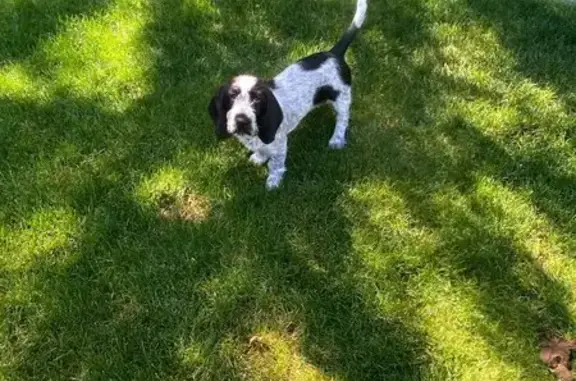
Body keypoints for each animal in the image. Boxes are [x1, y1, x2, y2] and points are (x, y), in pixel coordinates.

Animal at [209, 0, 366, 190]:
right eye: (232, 96)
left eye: (257, 100)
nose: (241, 120)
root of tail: (334, 53)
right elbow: (261, 149)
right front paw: (259, 157)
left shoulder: (280, 143)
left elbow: (276, 164)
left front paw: (273, 182)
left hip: (342, 99)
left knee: (342, 120)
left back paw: (336, 139)